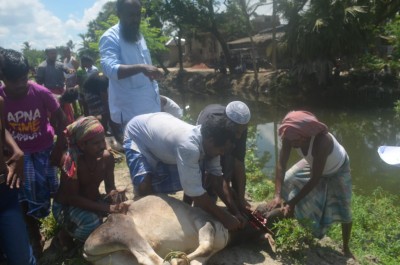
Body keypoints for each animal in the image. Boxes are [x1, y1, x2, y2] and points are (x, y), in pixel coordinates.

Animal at [83, 192, 278, 264]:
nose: (269, 208)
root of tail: (85, 247)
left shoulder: (209, 253)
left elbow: (200, 255)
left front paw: (182, 258)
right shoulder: (204, 223)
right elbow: (205, 245)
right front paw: (179, 258)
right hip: (127, 232)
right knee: (151, 259)